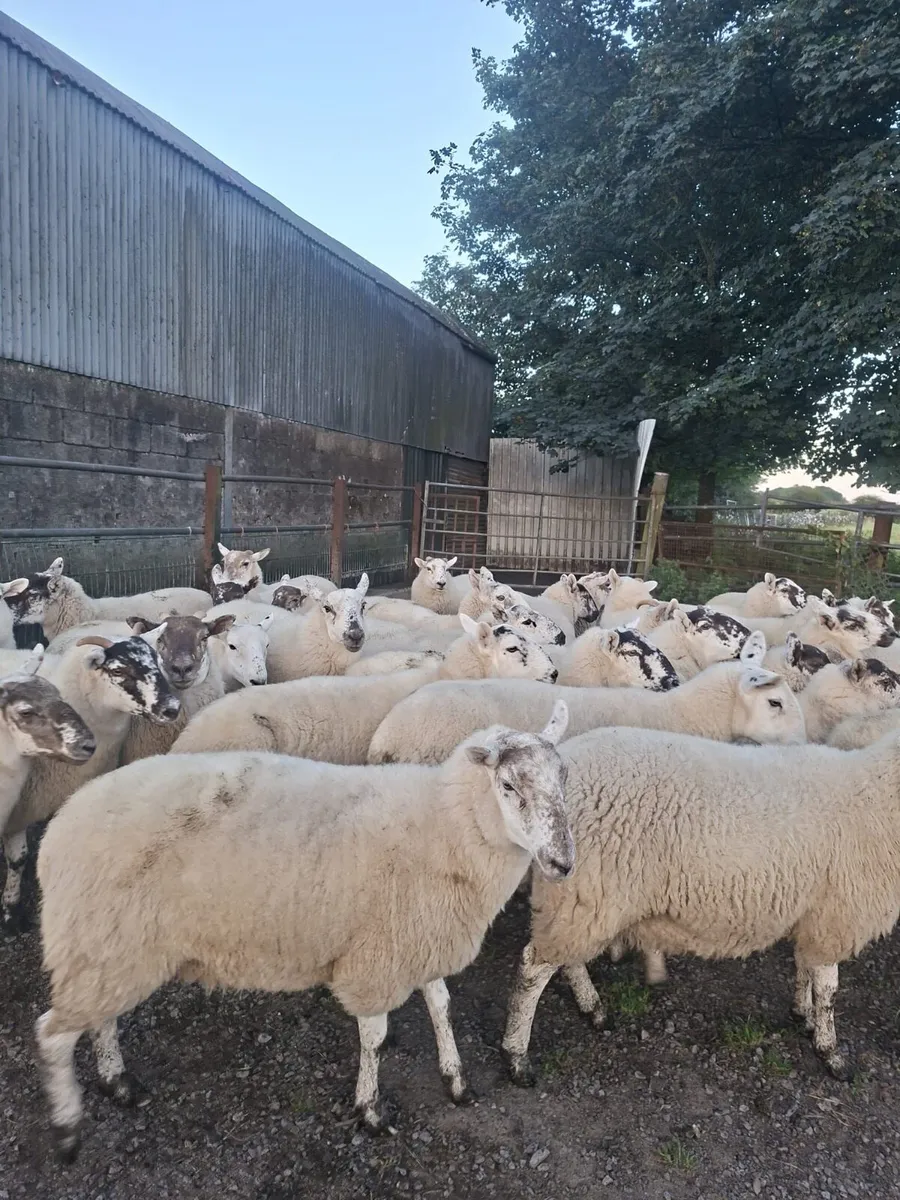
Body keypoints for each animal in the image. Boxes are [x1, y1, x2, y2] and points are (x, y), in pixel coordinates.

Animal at [0, 636, 179, 930]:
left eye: (156, 659)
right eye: (118, 670)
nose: (172, 708)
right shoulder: (17, 809)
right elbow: (18, 860)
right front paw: (11, 913)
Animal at [35, 702, 574, 1161]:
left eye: (564, 778)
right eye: (508, 786)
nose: (562, 864)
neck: (445, 827)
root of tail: (60, 825)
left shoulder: (420, 937)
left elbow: (441, 1007)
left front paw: (456, 1081)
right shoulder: (377, 958)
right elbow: (376, 1037)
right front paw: (369, 1110)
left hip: (108, 947)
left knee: (101, 1018)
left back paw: (117, 1081)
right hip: (100, 942)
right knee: (53, 1035)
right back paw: (66, 1131)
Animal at [500, 723, 900, 1088]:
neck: (876, 796)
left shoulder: (814, 911)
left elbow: (805, 968)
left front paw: (802, 1013)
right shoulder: (839, 916)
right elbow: (829, 991)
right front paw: (831, 1052)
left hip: (579, 898)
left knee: (567, 958)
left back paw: (592, 1007)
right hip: (587, 892)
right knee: (532, 970)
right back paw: (517, 1056)